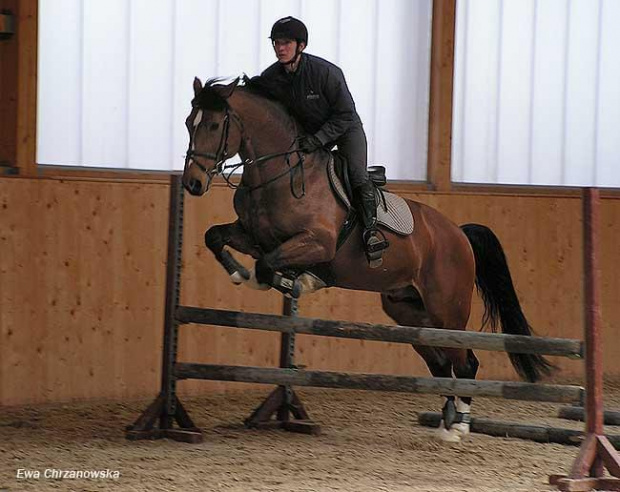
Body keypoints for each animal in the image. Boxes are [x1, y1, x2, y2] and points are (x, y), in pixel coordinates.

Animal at [180, 76, 552, 442]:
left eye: (214, 125)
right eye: (188, 123)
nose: (192, 183)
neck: (279, 174)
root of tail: (459, 235)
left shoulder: (318, 243)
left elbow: (267, 264)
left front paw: (294, 280)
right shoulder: (253, 235)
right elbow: (217, 237)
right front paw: (239, 273)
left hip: (447, 310)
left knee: (465, 361)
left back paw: (459, 426)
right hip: (408, 311)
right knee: (440, 361)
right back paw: (446, 421)